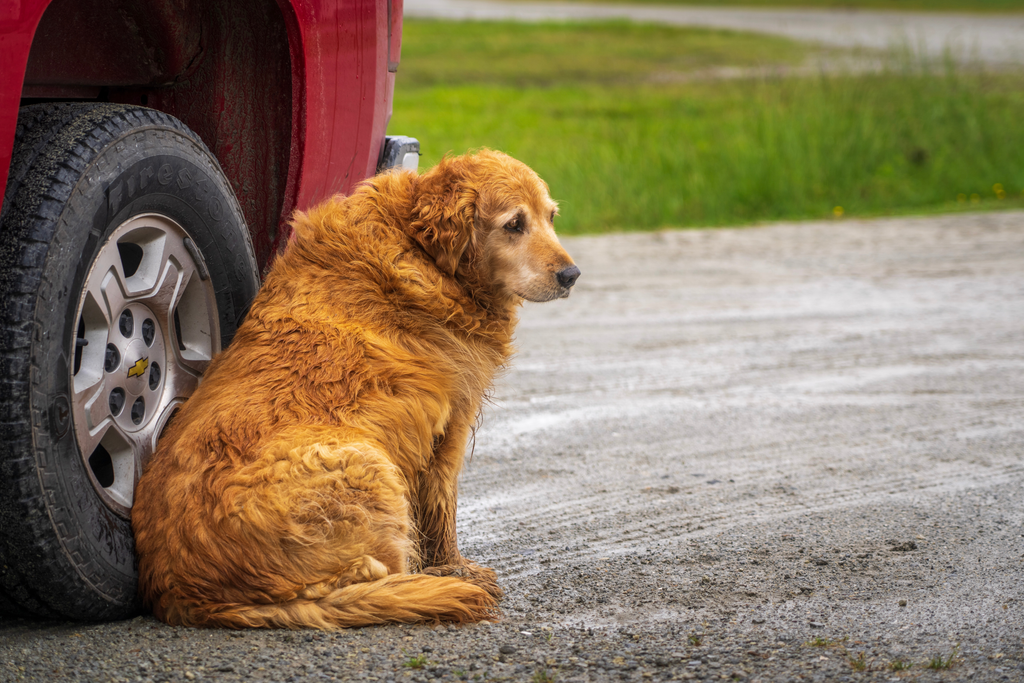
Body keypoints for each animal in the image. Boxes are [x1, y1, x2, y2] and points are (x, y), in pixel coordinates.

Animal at [132, 149, 581, 630]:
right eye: (514, 224)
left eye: (551, 217)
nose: (572, 274)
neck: (422, 252)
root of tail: (183, 594)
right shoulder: (450, 425)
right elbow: (442, 507)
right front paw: (454, 568)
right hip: (368, 466)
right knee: (366, 580)